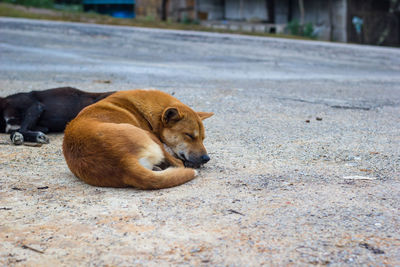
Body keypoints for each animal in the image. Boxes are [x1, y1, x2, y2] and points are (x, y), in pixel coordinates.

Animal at [62, 90, 212, 191]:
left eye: (203, 138)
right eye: (189, 135)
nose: (206, 158)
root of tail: (124, 162)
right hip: (150, 136)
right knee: (178, 163)